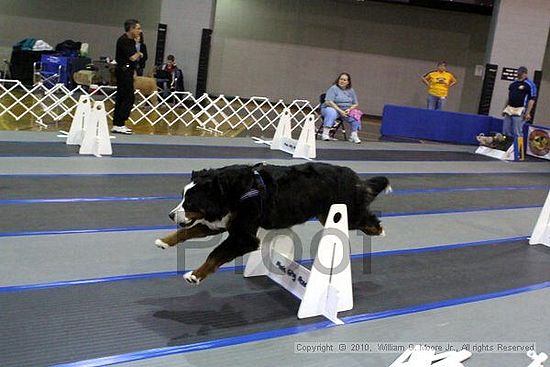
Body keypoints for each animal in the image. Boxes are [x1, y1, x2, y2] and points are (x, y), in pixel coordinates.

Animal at [155, 162, 392, 286]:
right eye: (182, 198)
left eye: (190, 203)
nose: (170, 215)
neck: (233, 192)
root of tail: (353, 176)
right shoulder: (221, 222)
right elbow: (188, 231)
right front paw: (164, 241)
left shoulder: (243, 237)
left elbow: (215, 254)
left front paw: (195, 275)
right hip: (328, 215)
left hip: (345, 214)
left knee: (367, 218)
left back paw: (380, 230)